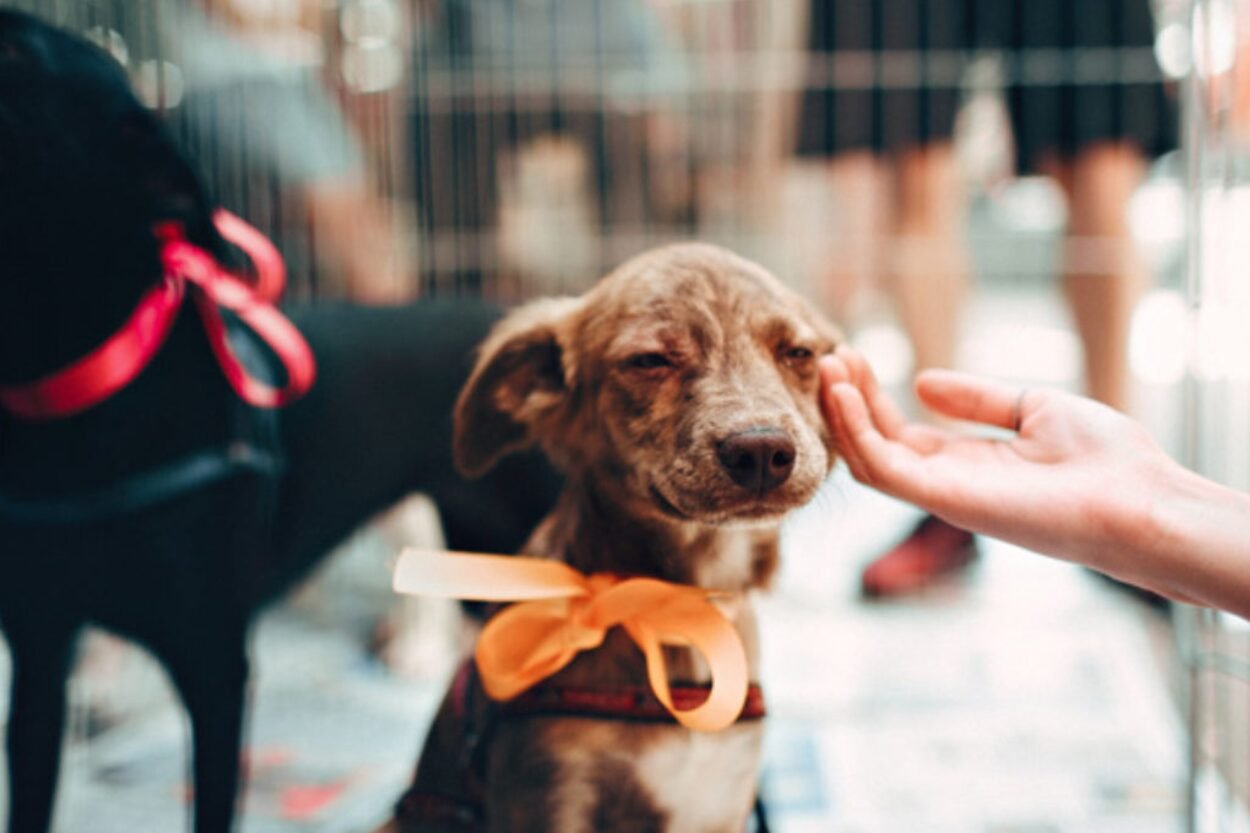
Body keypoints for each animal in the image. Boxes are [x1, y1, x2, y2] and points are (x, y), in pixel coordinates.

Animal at [382, 243, 840, 830]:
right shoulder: (550, 791)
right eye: (649, 361)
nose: (761, 451)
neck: (677, 609)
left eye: (798, 353)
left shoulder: (724, 799)